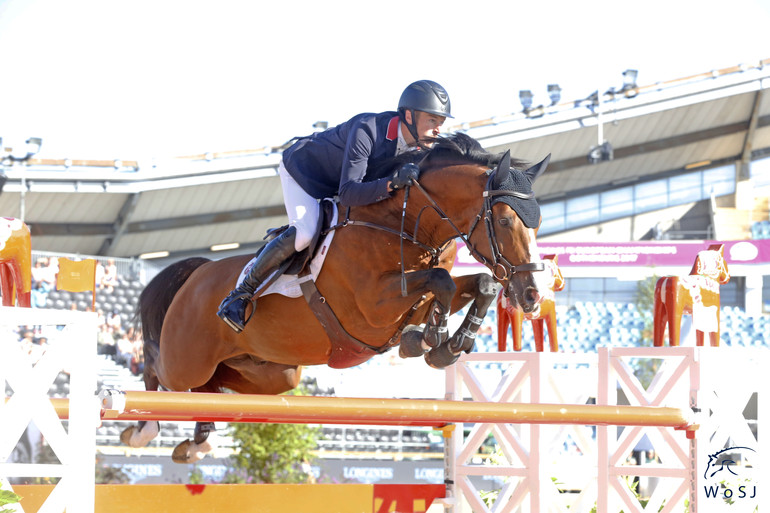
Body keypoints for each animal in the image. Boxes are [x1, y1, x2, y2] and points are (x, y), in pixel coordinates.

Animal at [121, 134, 552, 462]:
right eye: (504, 220)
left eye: (538, 223)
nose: (532, 295)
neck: (406, 224)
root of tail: (195, 273)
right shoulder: (373, 308)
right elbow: (443, 281)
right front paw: (432, 341)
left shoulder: (410, 299)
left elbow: (479, 283)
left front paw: (446, 344)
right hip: (186, 359)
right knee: (158, 369)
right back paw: (142, 429)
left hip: (273, 374)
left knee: (213, 387)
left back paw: (199, 439)